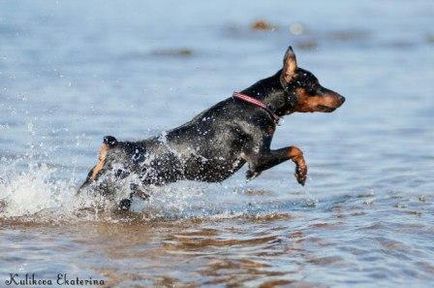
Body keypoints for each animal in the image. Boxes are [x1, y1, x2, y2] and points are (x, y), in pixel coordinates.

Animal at [79, 46, 346, 209]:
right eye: (315, 85)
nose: (343, 98)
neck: (259, 104)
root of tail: (111, 149)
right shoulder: (258, 156)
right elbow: (295, 149)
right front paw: (301, 173)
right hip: (112, 192)